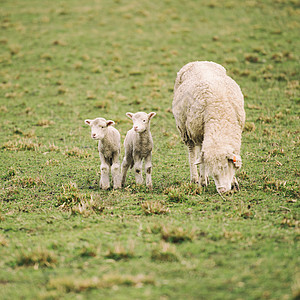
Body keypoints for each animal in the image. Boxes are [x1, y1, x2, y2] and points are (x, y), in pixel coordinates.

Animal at [172, 60, 245, 195]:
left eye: (225, 167)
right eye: (213, 172)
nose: (222, 190)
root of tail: (198, 61)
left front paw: (234, 183)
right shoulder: (198, 133)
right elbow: (202, 160)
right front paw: (202, 181)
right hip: (186, 128)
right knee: (192, 151)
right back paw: (196, 178)